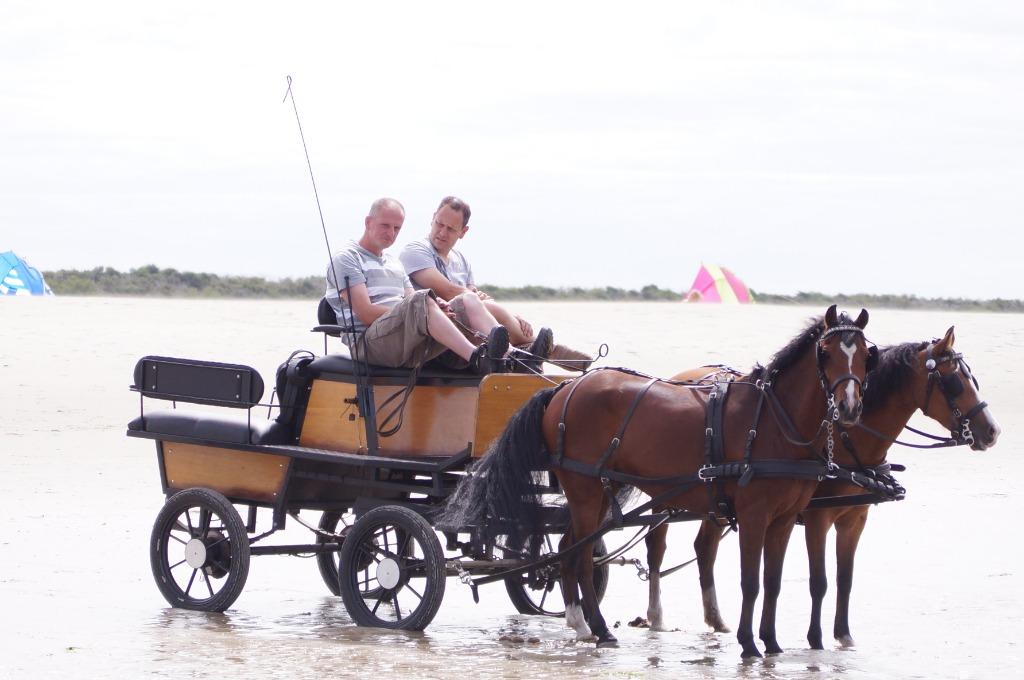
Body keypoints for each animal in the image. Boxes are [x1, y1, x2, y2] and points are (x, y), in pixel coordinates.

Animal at [443, 305, 873, 657]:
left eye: (867, 356)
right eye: (826, 353)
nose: (851, 407)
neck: (771, 420)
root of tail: (564, 388)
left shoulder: (783, 519)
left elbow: (772, 580)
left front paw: (770, 641)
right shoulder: (754, 514)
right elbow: (750, 581)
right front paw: (750, 644)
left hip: (599, 491)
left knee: (569, 550)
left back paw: (581, 623)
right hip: (583, 490)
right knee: (578, 557)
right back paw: (597, 628)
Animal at [640, 325, 1001, 648]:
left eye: (972, 378)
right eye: (954, 382)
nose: (992, 431)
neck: (847, 440)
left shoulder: (854, 519)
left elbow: (845, 579)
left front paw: (843, 634)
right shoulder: (817, 518)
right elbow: (819, 581)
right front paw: (815, 638)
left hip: (715, 500)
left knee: (704, 547)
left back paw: (716, 618)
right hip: (666, 493)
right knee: (656, 546)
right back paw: (656, 615)